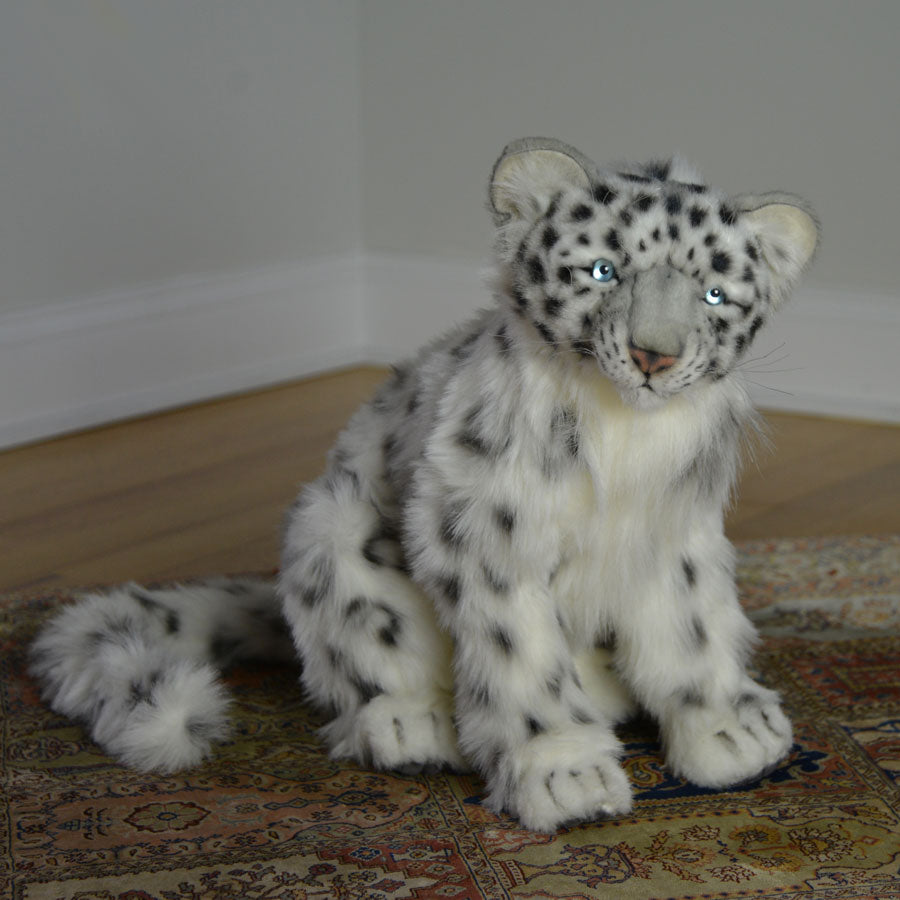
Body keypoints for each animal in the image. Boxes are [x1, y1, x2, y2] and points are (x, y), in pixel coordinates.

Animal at [31, 137, 820, 832]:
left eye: (714, 294)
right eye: (601, 270)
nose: (655, 355)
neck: (626, 436)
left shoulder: (677, 532)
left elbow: (691, 630)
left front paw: (729, 732)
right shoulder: (490, 532)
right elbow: (521, 657)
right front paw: (564, 772)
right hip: (333, 538)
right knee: (362, 670)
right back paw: (417, 725)